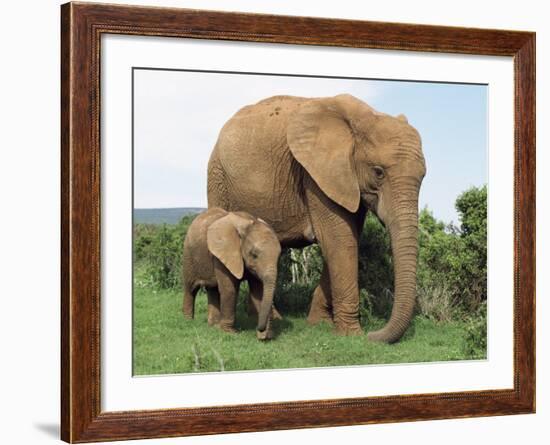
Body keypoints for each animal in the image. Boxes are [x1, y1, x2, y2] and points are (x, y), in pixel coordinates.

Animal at [183, 206, 282, 338]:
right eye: (254, 255)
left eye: (279, 256)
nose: (260, 329)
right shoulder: (222, 253)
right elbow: (229, 289)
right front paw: (230, 333)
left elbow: (258, 290)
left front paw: (265, 336)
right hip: (189, 255)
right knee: (190, 289)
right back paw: (188, 321)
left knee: (213, 289)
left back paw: (214, 326)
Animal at [207, 94, 426, 344]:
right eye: (378, 172)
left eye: (423, 176)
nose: (373, 334)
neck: (363, 117)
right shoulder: (316, 174)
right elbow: (339, 240)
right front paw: (351, 334)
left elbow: (346, 239)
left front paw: (319, 323)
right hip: (217, 176)